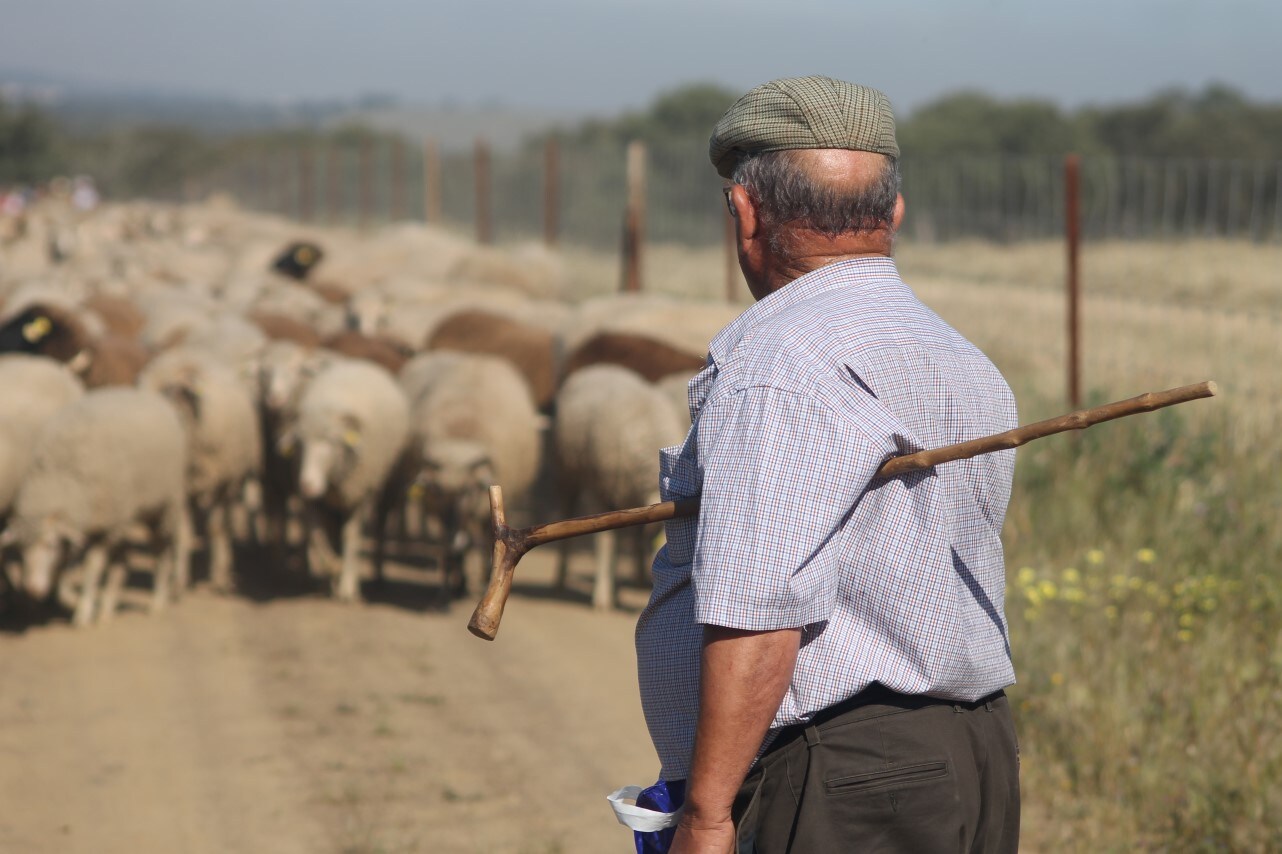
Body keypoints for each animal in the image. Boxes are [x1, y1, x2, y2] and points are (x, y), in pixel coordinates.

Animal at [1, 384, 189, 625]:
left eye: (49, 545)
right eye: (20, 550)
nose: (32, 590)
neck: (61, 477)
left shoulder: (104, 529)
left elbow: (91, 569)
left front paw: (82, 612)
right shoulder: (82, 526)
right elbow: (63, 568)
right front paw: (66, 599)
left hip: (163, 504)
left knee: (161, 548)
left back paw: (158, 600)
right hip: (125, 517)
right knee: (122, 560)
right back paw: (108, 607)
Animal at [556, 361, 687, 607]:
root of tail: (598, 366)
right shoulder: (602, 493)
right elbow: (606, 544)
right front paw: (602, 596)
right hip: (569, 473)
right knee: (566, 514)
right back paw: (560, 577)